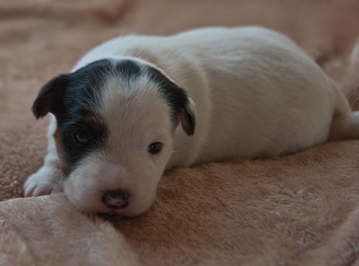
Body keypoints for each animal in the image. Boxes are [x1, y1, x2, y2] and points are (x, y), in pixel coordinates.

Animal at [23, 26, 359, 216]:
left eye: (156, 147)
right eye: (80, 137)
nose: (116, 199)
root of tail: (330, 85)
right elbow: (53, 151)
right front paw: (45, 180)